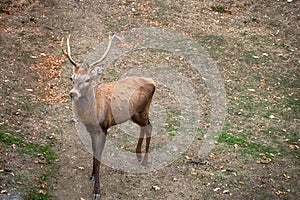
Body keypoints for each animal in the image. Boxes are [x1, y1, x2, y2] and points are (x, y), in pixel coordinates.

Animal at [59, 33, 156, 199]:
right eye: (72, 78)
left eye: (88, 79)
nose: (72, 94)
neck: (93, 115)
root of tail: (153, 82)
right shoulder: (91, 130)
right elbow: (93, 153)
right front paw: (92, 175)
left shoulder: (104, 128)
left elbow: (99, 158)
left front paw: (96, 191)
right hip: (135, 114)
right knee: (145, 126)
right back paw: (137, 153)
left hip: (142, 111)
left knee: (149, 127)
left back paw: (144, 160)